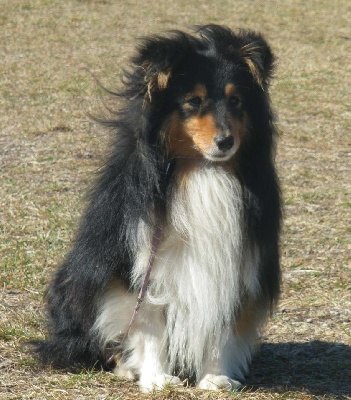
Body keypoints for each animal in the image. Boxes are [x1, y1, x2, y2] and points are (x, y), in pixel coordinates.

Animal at [34, 24, 282, 390]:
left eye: (236, 101)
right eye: (193, 102)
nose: (226, 142)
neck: (200, 168)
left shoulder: (237, 261)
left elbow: (221, 324)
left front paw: (216, 378)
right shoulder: (139, 259)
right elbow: (148, 323)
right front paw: (157, 378)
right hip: (75, 282)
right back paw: (123, 364)